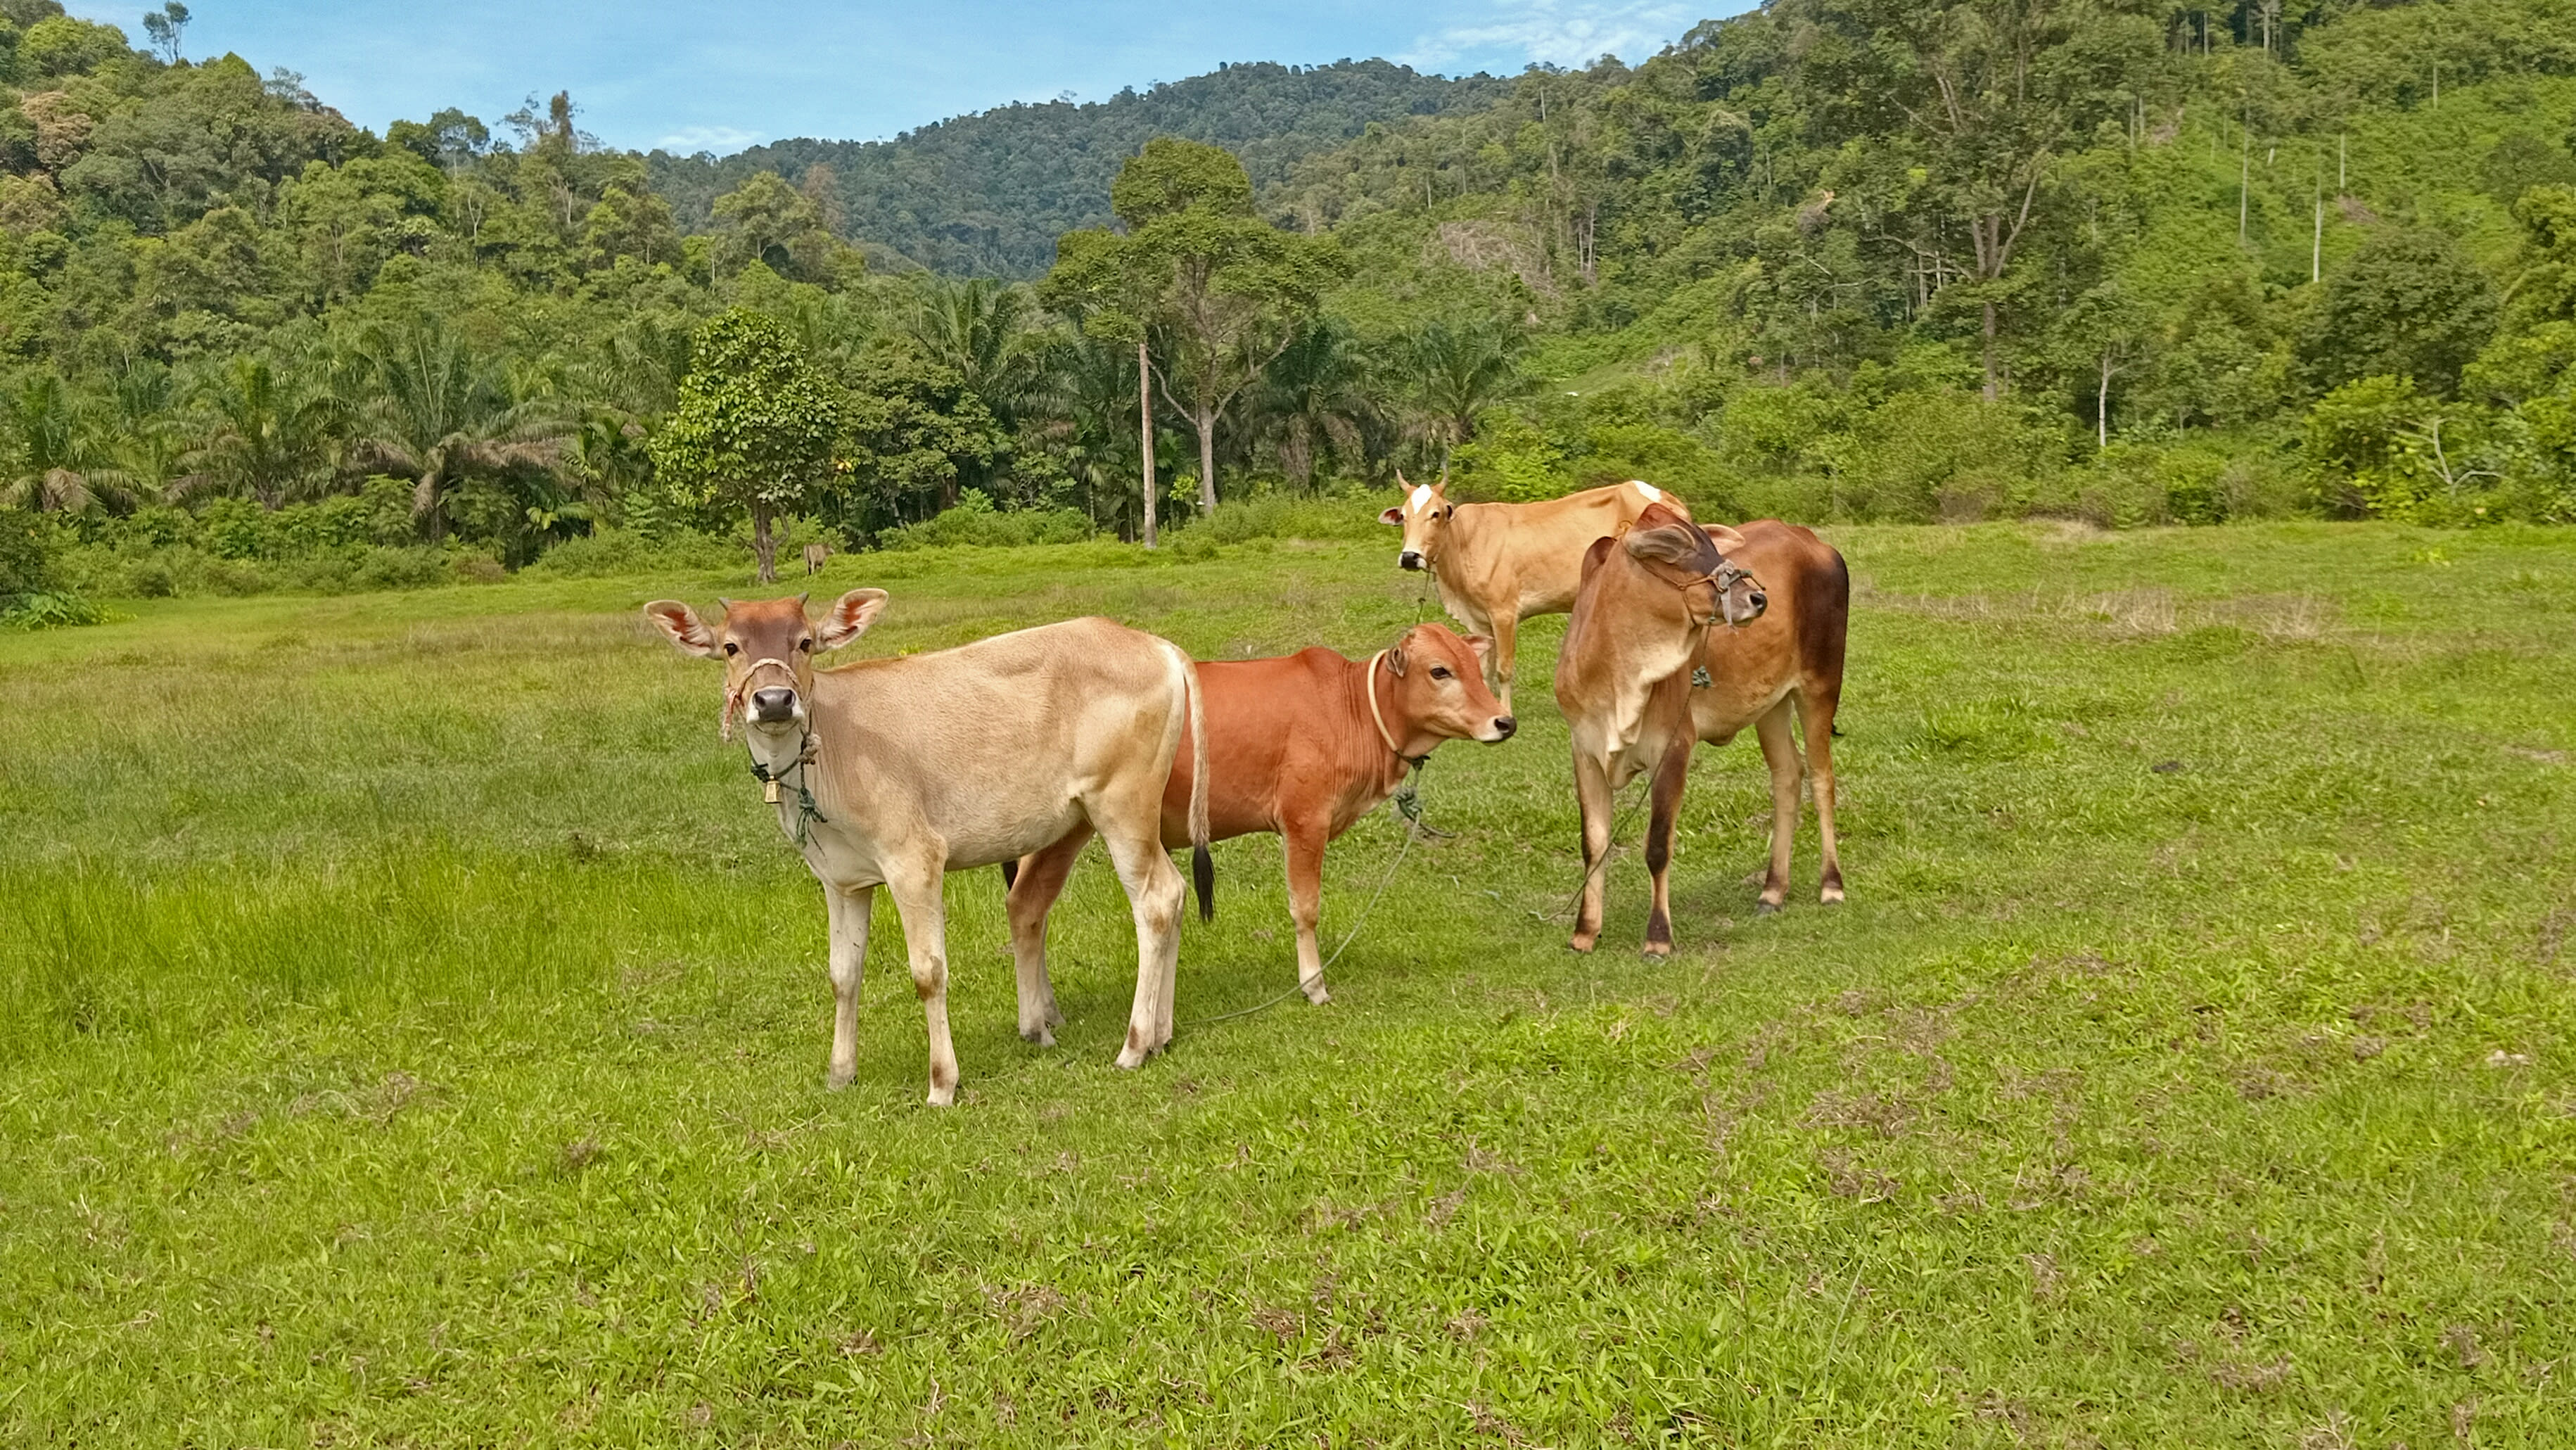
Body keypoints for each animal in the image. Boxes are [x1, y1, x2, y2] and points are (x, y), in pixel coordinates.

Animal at [643, 590, 1210, 1105]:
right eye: (731, 646)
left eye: (804, 641)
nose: (775, 700)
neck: (829, 756)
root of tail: (1154, 643)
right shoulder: (841, 880)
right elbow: (843, 975)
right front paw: (840, 1073)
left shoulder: (914, 859)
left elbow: (928, 972)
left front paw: (942, 1083)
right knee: (1177, 891)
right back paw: (1161, 1035)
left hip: (1122, 805)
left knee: (1155, 901)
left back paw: (1134, 1045)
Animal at [1003, 623, 1515, 1009]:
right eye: (1439, 670)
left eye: (1476, 668)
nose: (1504, 722)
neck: (1352, 711)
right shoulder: (1305, 821)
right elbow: (1305, 907)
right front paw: (1314, 985)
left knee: (1030, 906)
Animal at [1382, 474, 1688, 714]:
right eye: (1404, 517)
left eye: (1436, 514)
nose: (1410, 557)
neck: (1464, 542)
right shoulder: (1480, 620)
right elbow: (1483, 668)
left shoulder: (1504, 612)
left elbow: (1504, 668)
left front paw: (1505, 711)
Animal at [1551, 503, 1765, 957]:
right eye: (1674, 546)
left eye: (1710, 542)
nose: (1757, 597)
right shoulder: (1584, 751)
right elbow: (1593, 843)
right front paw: (1584, 932)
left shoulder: (1673, 747)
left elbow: (1657, 846)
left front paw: (1658, 938)